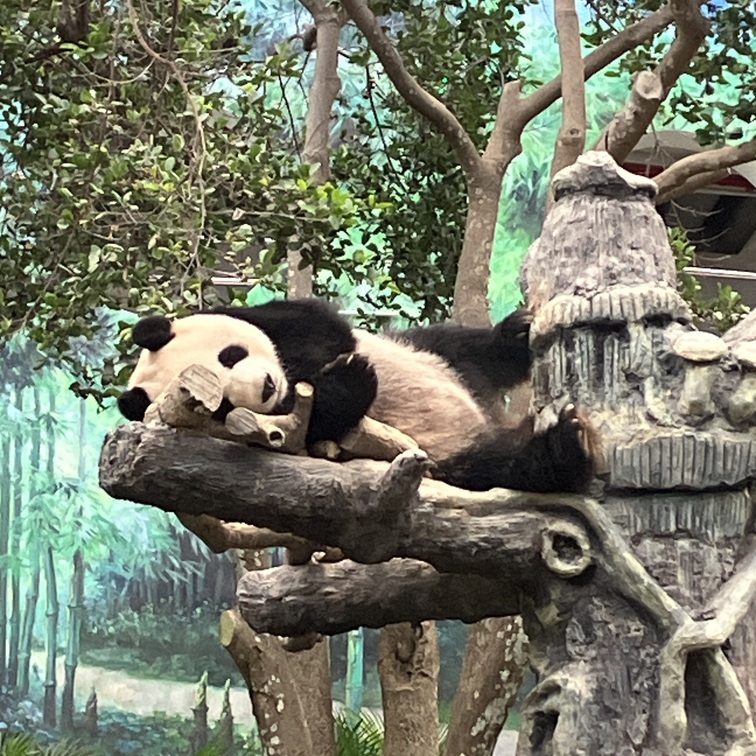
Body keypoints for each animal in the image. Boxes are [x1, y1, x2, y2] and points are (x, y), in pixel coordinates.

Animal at [118, 298, 595, 494]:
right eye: (222, 406)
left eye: (230, 355)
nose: (267, 387)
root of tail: (483, 421)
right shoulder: (274, 438)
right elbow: (320, 426)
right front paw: (349, 382)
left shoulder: (270, 318)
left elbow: (315, 322)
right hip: (447, 460)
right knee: (501, 467)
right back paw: (559, 449)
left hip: (428, 355)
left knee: (463, 347)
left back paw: (514, 336)